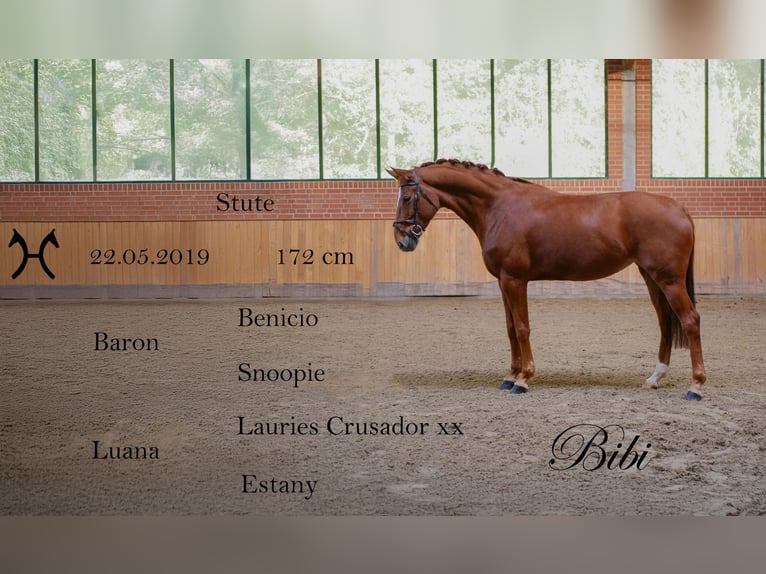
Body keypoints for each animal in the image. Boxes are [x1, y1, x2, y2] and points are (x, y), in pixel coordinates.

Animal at [389, 159, 706, 401]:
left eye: (408, 197)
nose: (402, 241)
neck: (498, 207)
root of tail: (679, 207)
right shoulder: (503, 282)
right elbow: (510, 329)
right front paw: (509, 376)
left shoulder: (515, 280)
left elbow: (522, 329)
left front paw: (523, 379)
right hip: (652, 278)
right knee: (665, 322)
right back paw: (655, 377)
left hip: (669, 280)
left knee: (690, 320)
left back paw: (696, 386)